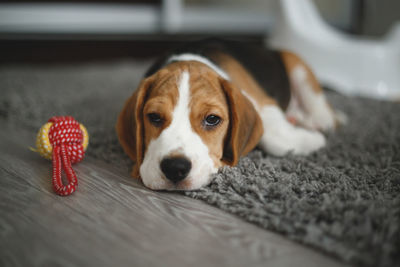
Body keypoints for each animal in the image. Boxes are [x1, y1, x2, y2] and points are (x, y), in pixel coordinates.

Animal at [116, 38, 344, 192]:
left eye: (212, 119)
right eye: (154, 116)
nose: (175, 168)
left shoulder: (265, 105)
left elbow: (275, 138)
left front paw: (314, 140)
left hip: (297, 66)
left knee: (324, 113)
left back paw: (317, 122)